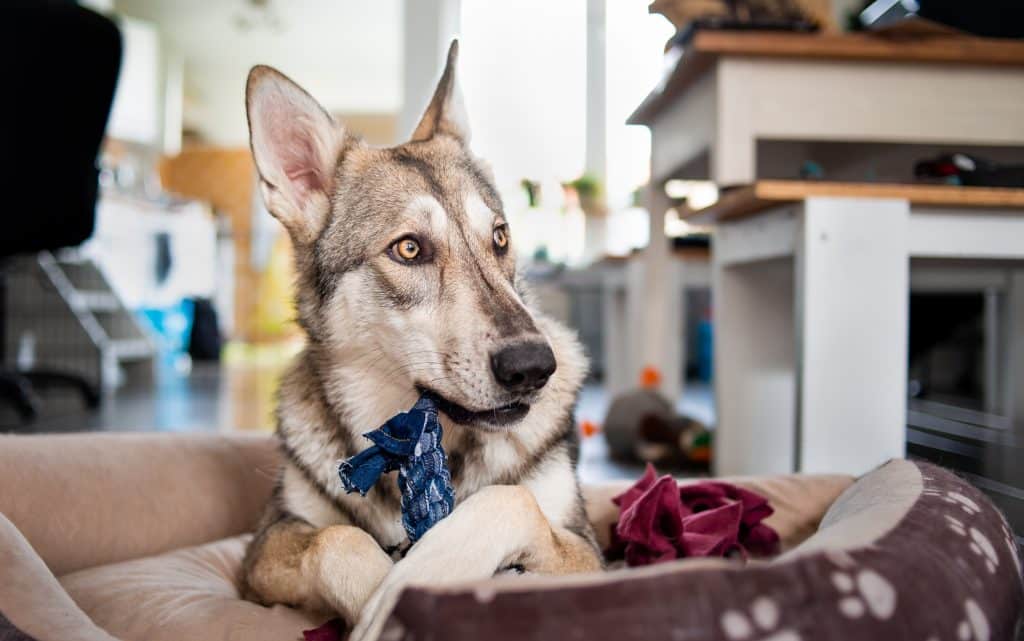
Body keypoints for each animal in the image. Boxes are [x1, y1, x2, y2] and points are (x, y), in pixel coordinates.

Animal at [240, 41, 602, 638]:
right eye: (409, 249)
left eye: (500, 238)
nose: (534, 367)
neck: (409, 445)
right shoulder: (263, 546)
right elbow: (338, 539)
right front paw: (386, 603)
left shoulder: (589, 554)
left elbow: (508, 500)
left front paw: (418, 580)